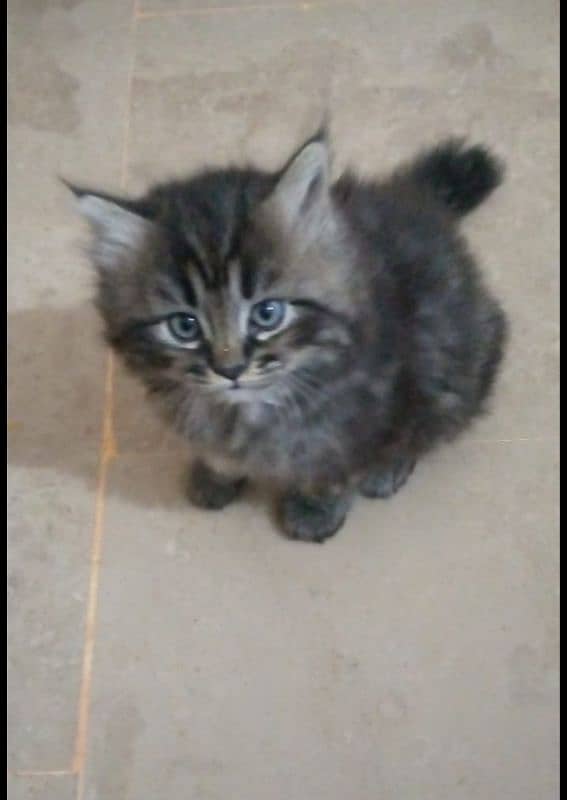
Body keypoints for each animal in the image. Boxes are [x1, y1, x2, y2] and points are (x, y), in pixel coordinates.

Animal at [72, 134, 510, 544]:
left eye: (267, 314)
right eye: (185, 326)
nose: (230, 369)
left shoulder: (361, 412)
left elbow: (332, 467)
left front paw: (316, 509)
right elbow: (217, 450)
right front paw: (216, 476)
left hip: (455, 361)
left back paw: (388, 466)